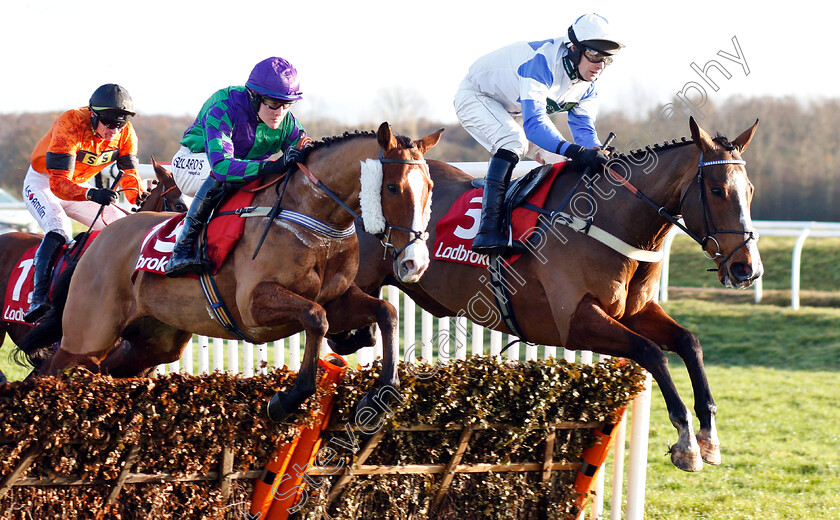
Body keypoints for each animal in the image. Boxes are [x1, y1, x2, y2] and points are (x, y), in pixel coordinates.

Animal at [23, 123, 442, 422]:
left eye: (430, 187)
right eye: (393, 187)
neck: (316, 219)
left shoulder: (337, 297)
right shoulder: (254, 305)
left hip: (148, 345)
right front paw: (287, 399)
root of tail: (97, 241)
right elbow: (315, 318)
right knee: (46, 375)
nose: (415, 263)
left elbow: (384, 313)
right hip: (87, 338)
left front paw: (381, 394)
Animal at [334, 117, 760, 472]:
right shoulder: (572, 323)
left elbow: (689, 343)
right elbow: (652, 352)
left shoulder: (635, 312)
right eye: (718, 190)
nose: (747, 268)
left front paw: (708, 435)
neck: (607, 220)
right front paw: (686, 442)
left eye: (750, 190)